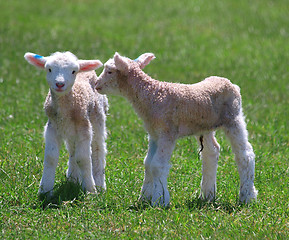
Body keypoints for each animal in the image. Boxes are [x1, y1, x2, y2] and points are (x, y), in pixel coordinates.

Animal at [24, 51, 108, 196]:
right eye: (49, 69)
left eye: (73, 71)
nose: (59, 84)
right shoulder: (52, 127)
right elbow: (51, 157)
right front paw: (45, 190)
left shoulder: (84, 127)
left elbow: (83, 158)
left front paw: (90, 190)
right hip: (70, 131)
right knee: (72, 150)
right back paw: (73, 178)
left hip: (97, 117)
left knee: (98, 148)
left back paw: (99, 184)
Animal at [95, 52, 258, 206]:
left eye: (109, 71)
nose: (96, 85)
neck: (150, 94)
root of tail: (232, 84)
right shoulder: (154, 134)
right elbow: (148, 163)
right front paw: (144, 198)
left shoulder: (167, 132)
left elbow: (157, 165)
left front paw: (159, 200)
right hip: (205, 125)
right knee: (211, 152)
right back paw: (207, 195)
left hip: (233, 118)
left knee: (245, 154)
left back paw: (247, 196)